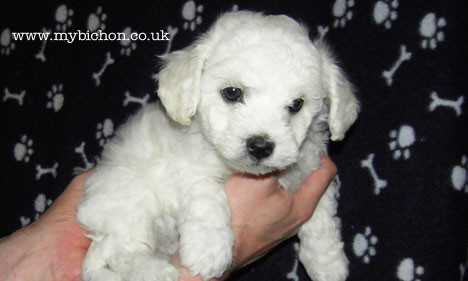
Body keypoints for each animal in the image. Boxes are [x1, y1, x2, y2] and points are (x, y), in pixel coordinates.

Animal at [77, 9, 358, 280]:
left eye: (297, 104)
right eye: (232, 93)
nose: (260, 146)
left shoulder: (311, 166)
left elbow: (322, 217)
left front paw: (328, 263)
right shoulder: (186, 165)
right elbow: (206, 197)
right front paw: (208, 251)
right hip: (129, 200)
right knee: (120, 250)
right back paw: (154, 272)